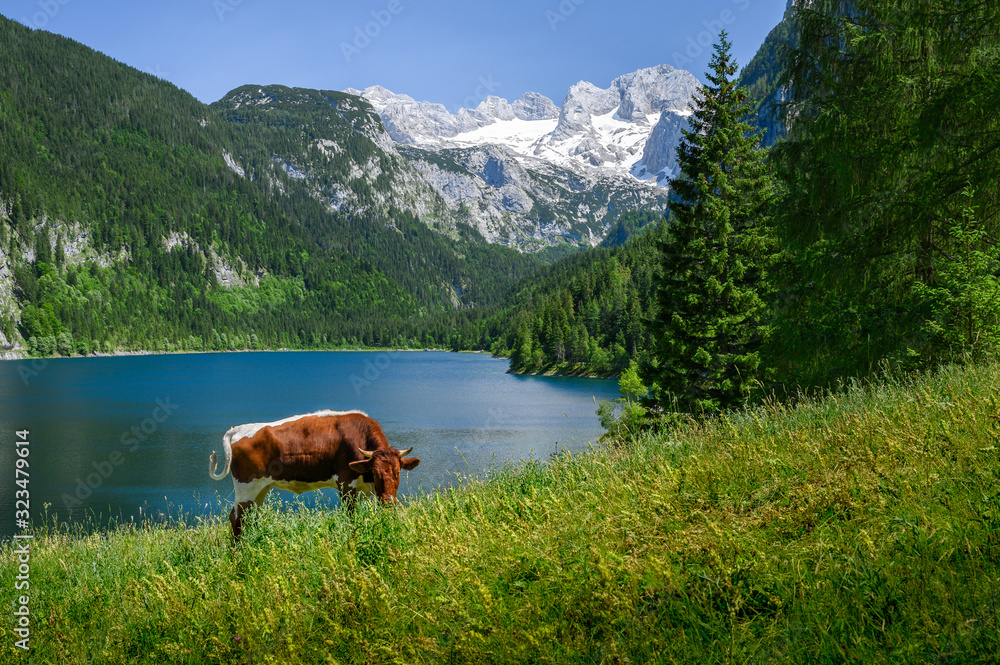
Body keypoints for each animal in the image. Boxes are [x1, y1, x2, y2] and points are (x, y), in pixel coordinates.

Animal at [208, 410, 418, 540]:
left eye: (397, 472)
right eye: (374, 471)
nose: (388, 501)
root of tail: (239, 429)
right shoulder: (345, 482)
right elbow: (351, 516)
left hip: (261, 488)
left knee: (250, 517)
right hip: (246, 487)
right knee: (236, 518)